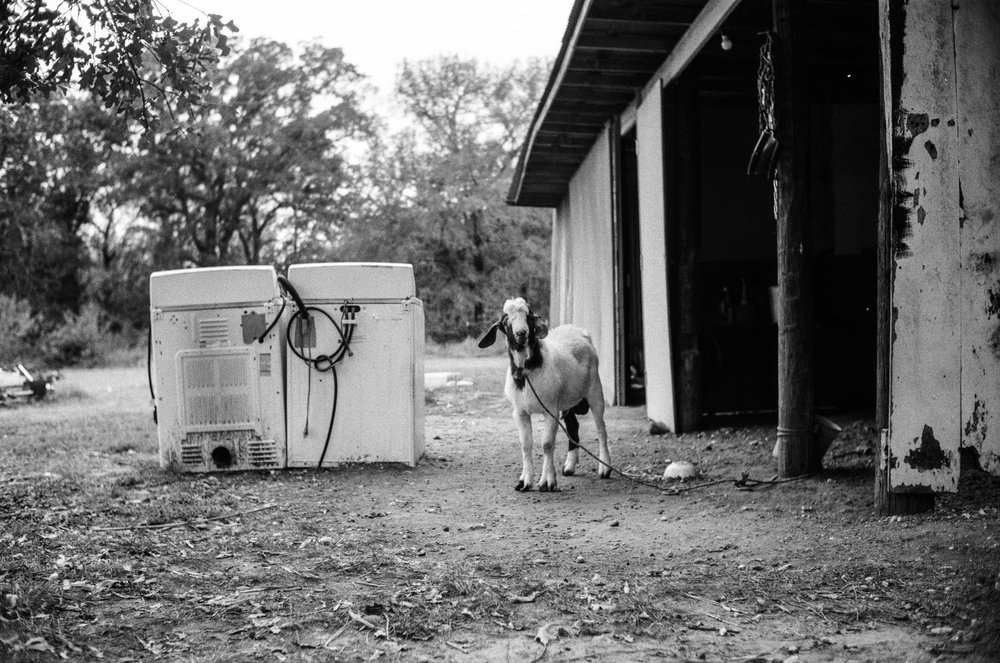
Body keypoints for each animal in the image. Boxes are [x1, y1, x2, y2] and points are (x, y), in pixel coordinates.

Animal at [476, 298, 608, 490]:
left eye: (529, 318)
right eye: (506, 322)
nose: (521, 333)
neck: (527, 370)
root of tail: (580, 331)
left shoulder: (550, 410)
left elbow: (547, 444)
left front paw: (547, 482)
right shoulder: (520, 412)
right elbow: (526, 444)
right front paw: (524, 481)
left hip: (595, 390)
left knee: (601, 429)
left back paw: (605, 469)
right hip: (567, 401)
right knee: (573, 427)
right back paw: (569, 466)